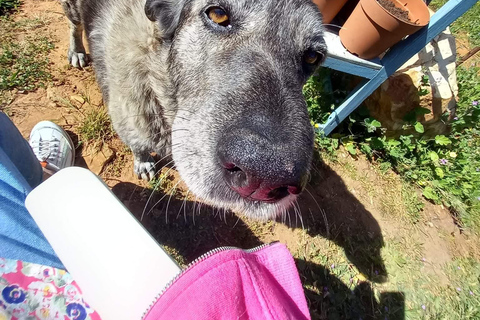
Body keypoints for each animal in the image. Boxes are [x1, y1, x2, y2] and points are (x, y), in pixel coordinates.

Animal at [61, 0, 326, 220]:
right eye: (218, 14)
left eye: (313, 57)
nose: (265, 178)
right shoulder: (128, 119)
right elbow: (138, 145)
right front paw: (143, 161)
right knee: (73, 24)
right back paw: (76, 50)